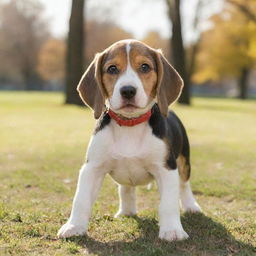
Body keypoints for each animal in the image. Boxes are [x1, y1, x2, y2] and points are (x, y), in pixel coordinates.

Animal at [57, 39, 201, 241]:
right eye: (112, 69)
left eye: (145, 67)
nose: (127, 91)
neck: (130, 124)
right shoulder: (92, 168)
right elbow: (81, 200)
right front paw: (74, 226)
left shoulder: (166, 168)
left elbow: (168, 203)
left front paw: (172, 230)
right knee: (126, 188)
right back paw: (127, 210)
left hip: (183, 161)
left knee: (184, 184)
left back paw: (191, 206)